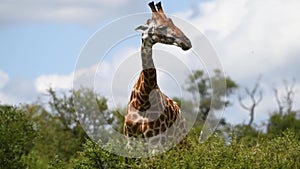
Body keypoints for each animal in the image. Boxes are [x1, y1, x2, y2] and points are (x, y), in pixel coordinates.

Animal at [123, 1, 192, 151]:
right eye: (161, 27)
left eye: (172, 21)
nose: (187, 42)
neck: (142, 100)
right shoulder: (129, 140)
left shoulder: (155, 141)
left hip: (180, 141)